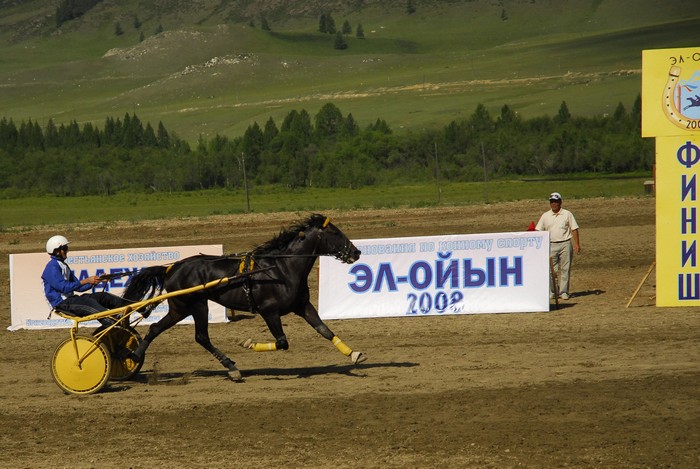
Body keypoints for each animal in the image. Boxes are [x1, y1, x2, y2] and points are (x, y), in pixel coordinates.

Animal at [122, 213, 366, 380]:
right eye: (335, 232)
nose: (356, 252)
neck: (281, 269)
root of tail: (171, 268)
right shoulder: (269, 311)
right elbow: (282, 342)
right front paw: (248, 343)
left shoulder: (302, 305)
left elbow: (324, 330)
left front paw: (354, 354)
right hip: (191, 305)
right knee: (195, 336)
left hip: (183, 308)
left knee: (169, 331)